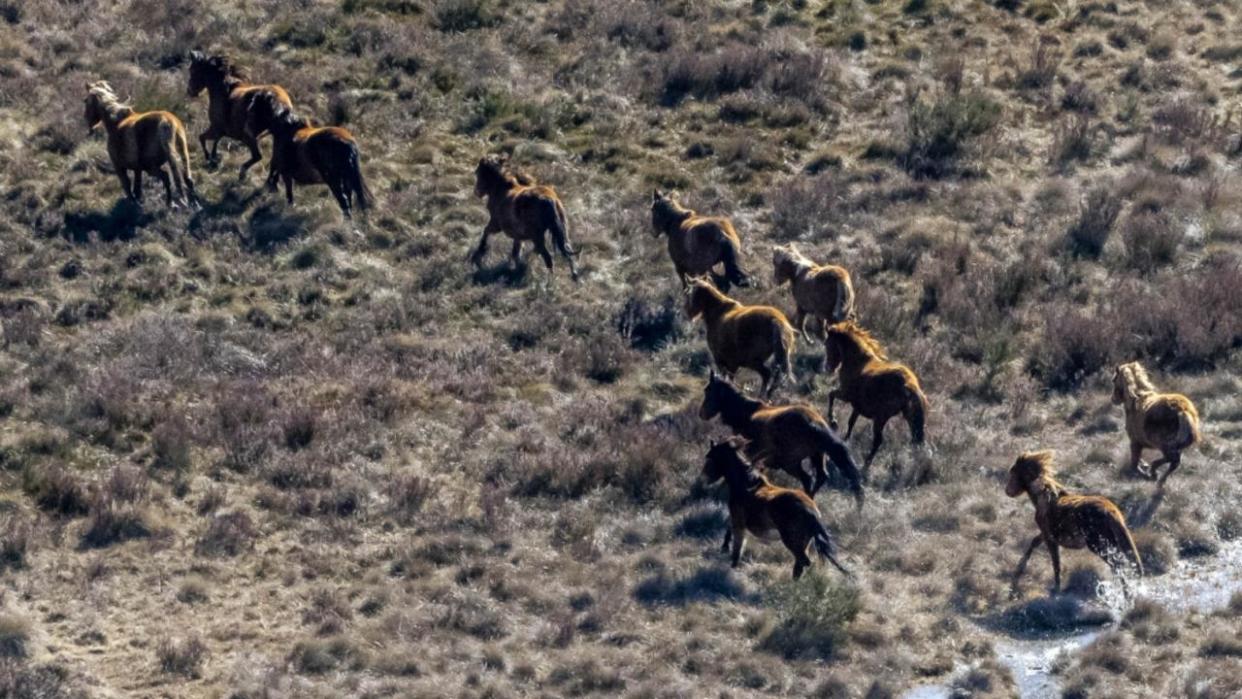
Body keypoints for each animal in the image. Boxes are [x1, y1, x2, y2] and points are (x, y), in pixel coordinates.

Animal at [185, 51, 294, 184]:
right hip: (275, 136)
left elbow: (202, 138)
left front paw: (210, 158)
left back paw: (243, 173)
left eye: (192, 70)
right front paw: (214, 158)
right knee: (277, 159)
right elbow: (214, 140)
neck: (224, 91)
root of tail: (279, 102)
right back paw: (270, 181)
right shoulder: (220, 131)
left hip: (249, 137)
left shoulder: (216, 128)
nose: (190, 91)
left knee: (258, 156)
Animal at [700, 374, 864, 506]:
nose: (702, 414)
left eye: (708, 391)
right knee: (821, 477)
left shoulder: (749, 452)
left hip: (790, 463)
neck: (747, 412)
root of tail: (814, 424)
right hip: (817, 455)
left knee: (808, 479)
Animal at [705, 437, 849, 581]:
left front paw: (731, 569)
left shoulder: (738, 524)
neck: (746, 483)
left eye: (711, 456)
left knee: (804, 562)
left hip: (792, 541)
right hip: (804, 542)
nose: (706, 477)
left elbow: (737, 551)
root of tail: (812, 511)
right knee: (799, 565)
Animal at [819, 320, 929, 469]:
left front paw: (833, 421)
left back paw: (866, 464)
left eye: (827, 343)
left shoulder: (845, 394)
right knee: (915, 438)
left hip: (880, 418)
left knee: (878, 440)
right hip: (908, 417)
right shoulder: (857, 406)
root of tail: (909, 383)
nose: (828, 367)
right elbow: (851, 422)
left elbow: (831, 394)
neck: (858, 361)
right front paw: (845, 440)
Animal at [1003, 451, 1137, 593]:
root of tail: (1110, 511)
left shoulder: (1050, 538)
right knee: (1120, 563)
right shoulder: (1046, 534)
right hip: (1110, 543)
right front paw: (1020, 567)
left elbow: (1056, 564)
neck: (1043, 494)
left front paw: (1056, 588)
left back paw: (1124, 592)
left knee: (1117, 565)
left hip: (1098, 545)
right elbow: (1034, 543)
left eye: (1013, 472)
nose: (1007, 491)